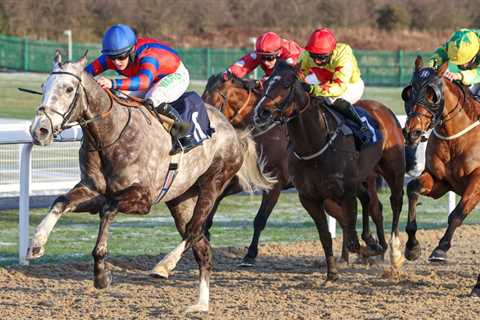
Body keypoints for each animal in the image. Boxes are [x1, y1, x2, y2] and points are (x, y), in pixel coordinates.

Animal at [27, 51, 274, 314]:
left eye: (69, 88)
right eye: (43, 87)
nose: (39, 130)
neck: (110, 133)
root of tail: (234, 131)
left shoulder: (142, 198)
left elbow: (108, 209)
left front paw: (101, 274)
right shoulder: (93, 190)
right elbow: (60, 202)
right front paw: (36, 244)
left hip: (213, 183)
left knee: (194, 230)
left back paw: (164, 266)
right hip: (181, 199)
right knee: (202, 246)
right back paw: (200, 304)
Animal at [202, 72, 390, 264]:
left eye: (216, 99)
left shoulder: (275, 183)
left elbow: (260, 218)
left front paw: (250, 254)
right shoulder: (252, 179)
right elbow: (217, 197)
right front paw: (205, 231)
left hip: (366, 178)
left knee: (376, 208)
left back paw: (380, 250)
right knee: (347, 214)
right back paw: (348, 256)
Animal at [253, 60, 406, 280]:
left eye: (286, 84)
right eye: (265, 83)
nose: (261, 112)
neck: (314, 146)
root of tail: (383, 109)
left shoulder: (346, 192)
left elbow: (351, 236)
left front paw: (369, 250)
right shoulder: (310, 197)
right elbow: (326, 235)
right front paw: (332, 272)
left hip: (393, 169)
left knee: (395, 202)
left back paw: (394, 251)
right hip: (364, 175)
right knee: (369, 200)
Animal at [402, 56, 480, 296]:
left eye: (432, 95)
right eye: (409, 91)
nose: (412, 132)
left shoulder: (477, 182)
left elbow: (456, 214)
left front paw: (440, 249)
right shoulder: (440, 181)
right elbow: (412, 189)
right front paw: (412, 248)